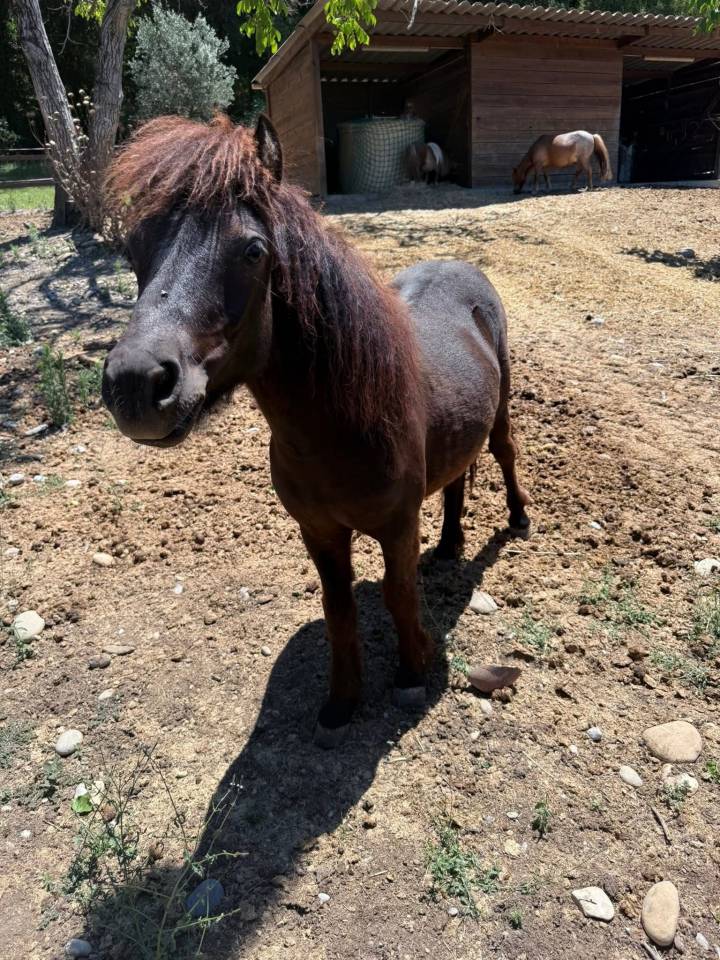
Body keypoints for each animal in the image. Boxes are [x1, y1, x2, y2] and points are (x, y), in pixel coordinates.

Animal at [102, 114, 530, 747]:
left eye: (253, 250)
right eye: (134, 246)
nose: (134, 384)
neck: (337, 430)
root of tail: (462, 267)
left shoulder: (397, 527)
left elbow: (400, 594)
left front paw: (412, 671)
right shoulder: (320, 533)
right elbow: (338, 609)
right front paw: (342, 700)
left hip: (500, 410)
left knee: (503, 451)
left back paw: (519, 519)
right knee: (455, 479)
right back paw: (451, 545)